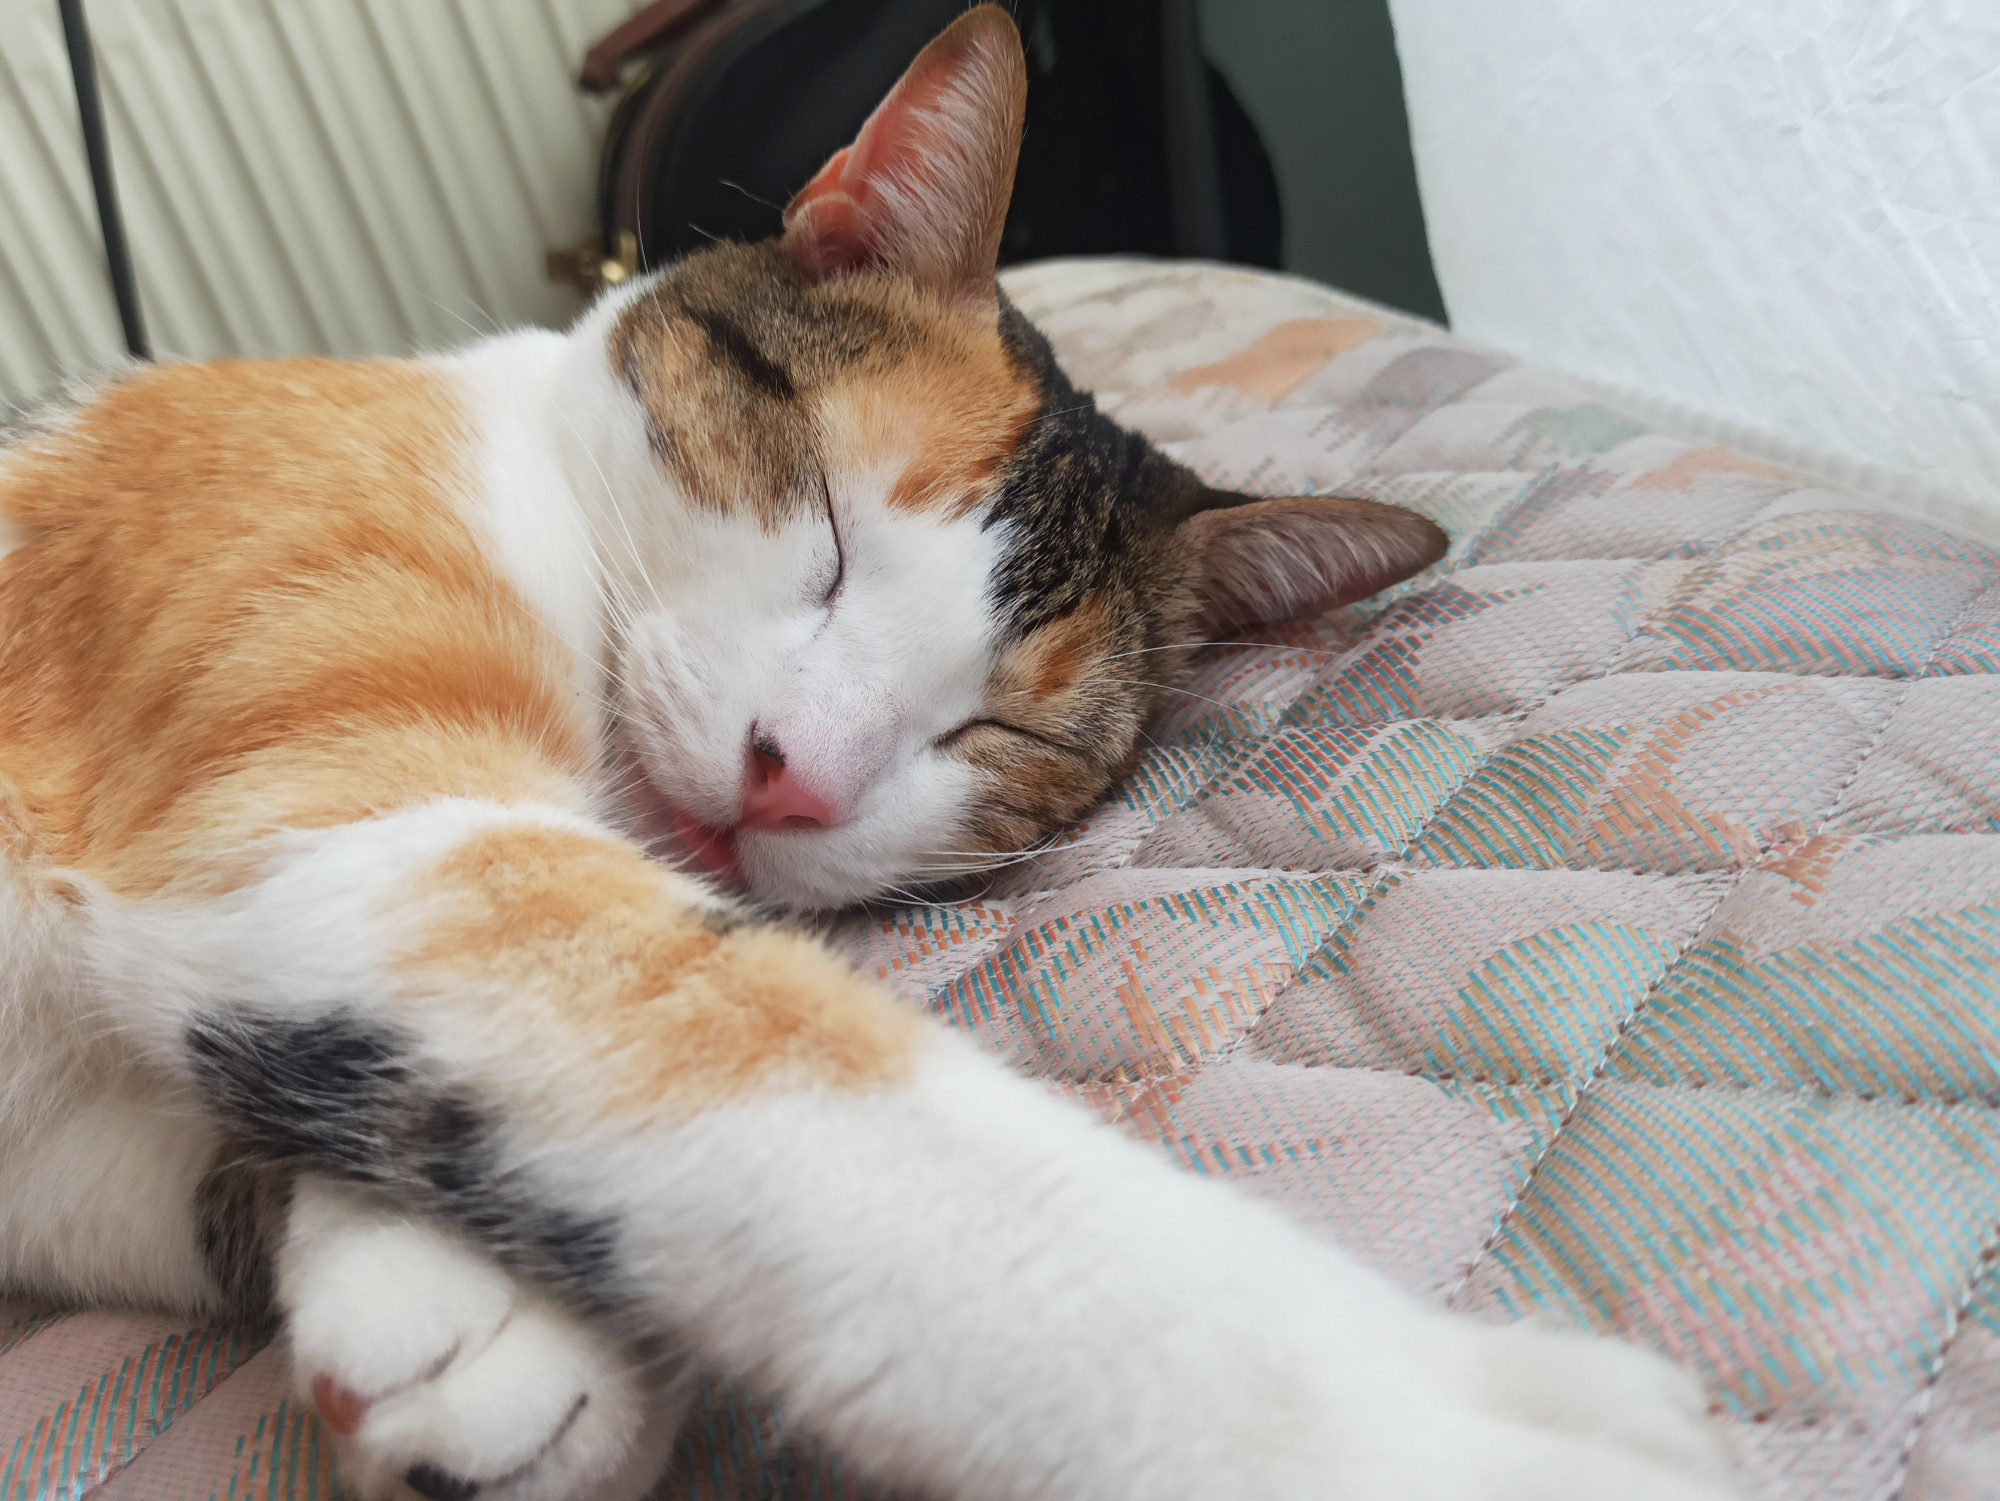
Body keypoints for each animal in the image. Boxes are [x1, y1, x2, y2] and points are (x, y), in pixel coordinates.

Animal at [0, 11, 1736, 1501]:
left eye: (996, 728)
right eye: (827, 526)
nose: (799, 774)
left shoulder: (89, 1142)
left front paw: (468, 1324)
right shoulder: (308, 769)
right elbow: (742, 1043)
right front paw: (1396, 1424)